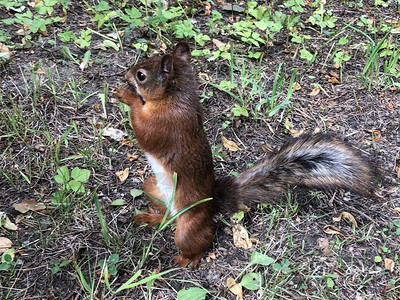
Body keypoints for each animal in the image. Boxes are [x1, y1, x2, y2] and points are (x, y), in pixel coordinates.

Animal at [115, 41, 376, 268]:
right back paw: (152, 219)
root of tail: (212, 203)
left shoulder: (166, 125)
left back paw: (189, 258)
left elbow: (144, 132)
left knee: (200, 238)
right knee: (166, 216)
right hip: (153, 189)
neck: (176, 98)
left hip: (189, 224)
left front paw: (126, 96)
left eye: (141, 75)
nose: (125, 75)